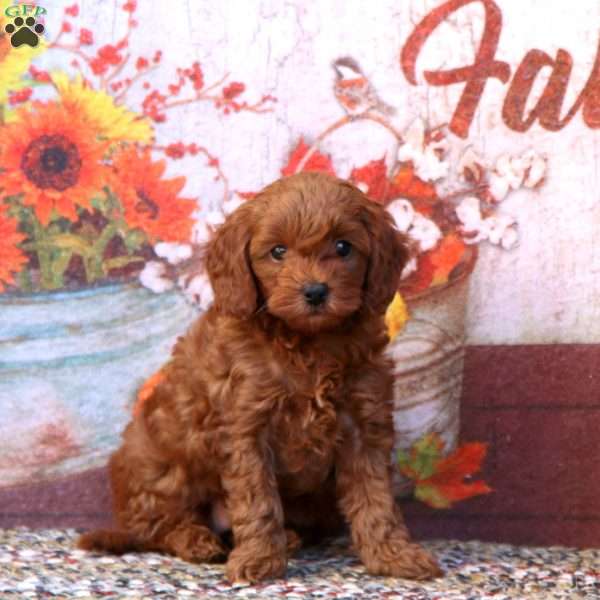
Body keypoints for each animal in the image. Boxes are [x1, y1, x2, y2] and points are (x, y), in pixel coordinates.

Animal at [78, 172, 440, 580]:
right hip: (161, 466)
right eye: (278, 252)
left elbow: (376, 498)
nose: (315, 291)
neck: (309, 344)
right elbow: (257, 499)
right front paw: (259, 560)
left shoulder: (365, 423)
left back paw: (288, 537)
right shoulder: (246, 427)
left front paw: (393, 555)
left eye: (343, 247)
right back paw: (197, 540)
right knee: (155, 526)